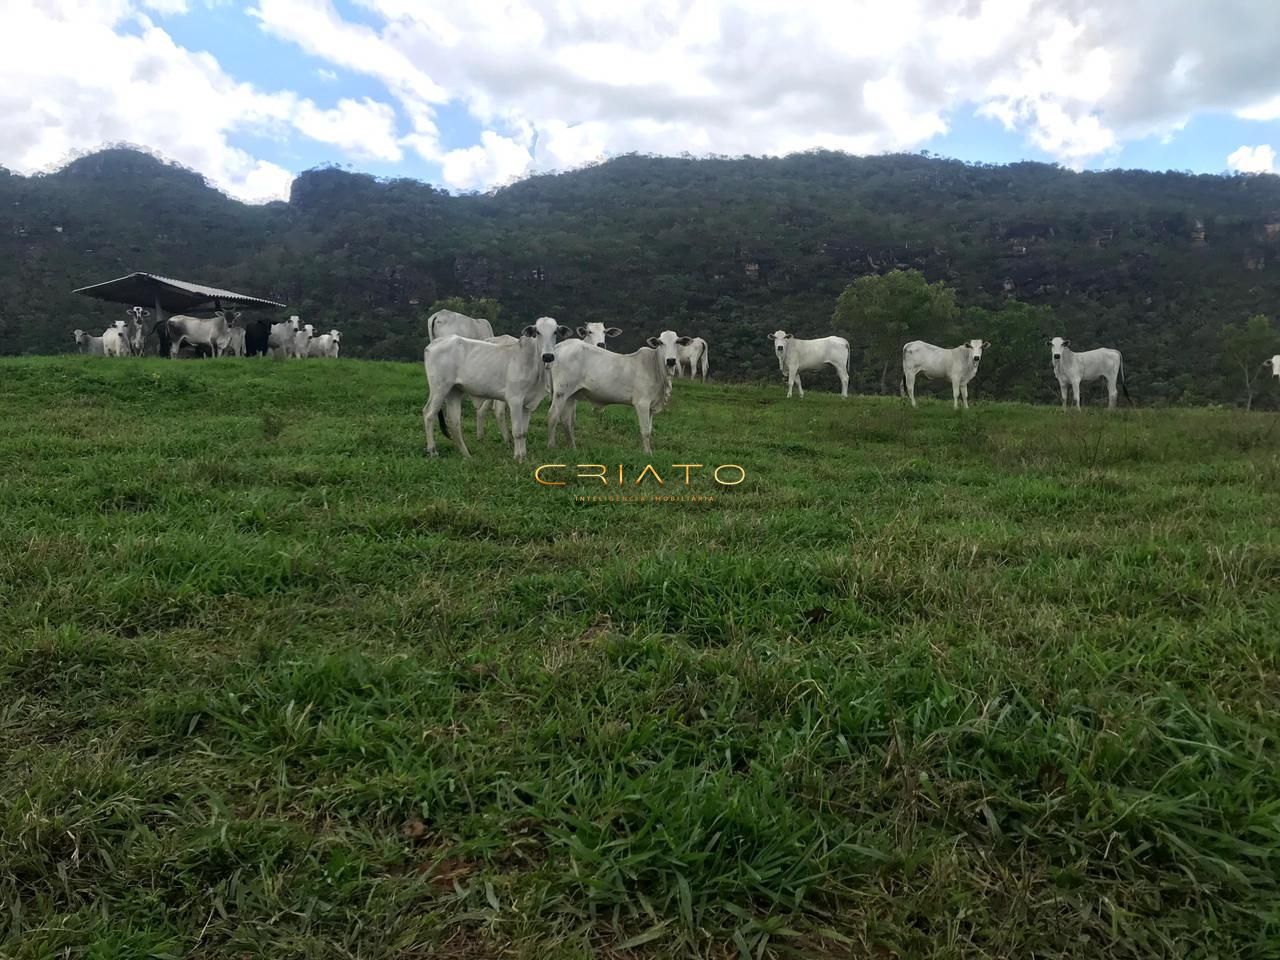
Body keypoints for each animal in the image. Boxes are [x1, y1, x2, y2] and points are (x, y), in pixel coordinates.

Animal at [422, 317, 568, 463]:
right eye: (537, 332)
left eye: (555, 332)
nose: (548, 356)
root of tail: (433, 344)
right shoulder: (515, 400)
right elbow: (517, 432)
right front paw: (518, 457)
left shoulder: (527, 404)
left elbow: (524, 432)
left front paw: (524, 456)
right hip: (439, 389)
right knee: (428, 414)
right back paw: (433, 451)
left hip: (454, 391)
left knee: (454, 421)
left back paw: (466, 455)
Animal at [547, 330, 691, 455]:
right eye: (660, 342)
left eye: (677, 342)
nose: (671, 360)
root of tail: (560, 346)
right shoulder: (642, 403)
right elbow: (645, 431)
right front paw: (648, 454)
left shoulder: (651, 406)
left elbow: (649, 430)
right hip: (561, 392)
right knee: (553, 415)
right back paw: (551, 446)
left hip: (570, 395)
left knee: (566, 420)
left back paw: (573, 448)